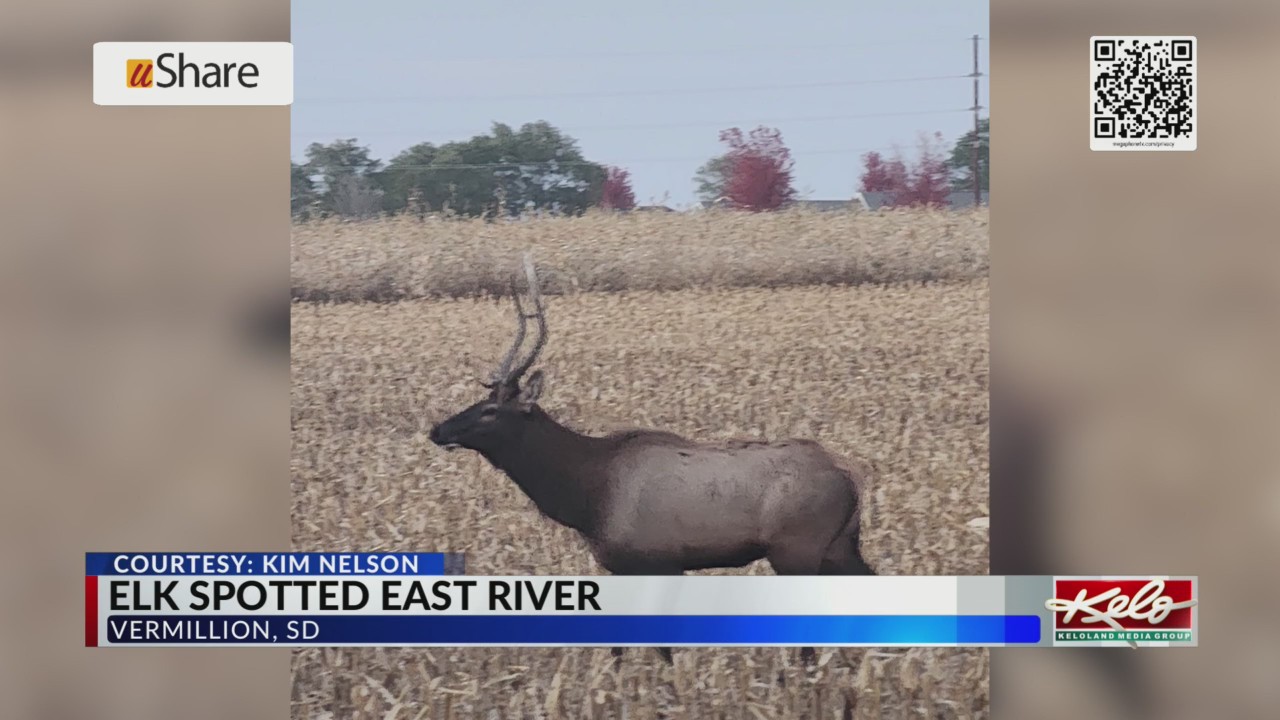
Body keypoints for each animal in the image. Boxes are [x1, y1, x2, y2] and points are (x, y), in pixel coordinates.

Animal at [428, 253, 878, 666]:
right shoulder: (623, 567)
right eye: (481, 401)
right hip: (839, 543)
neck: (586, 496)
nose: (437, 429)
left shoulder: (661, 560)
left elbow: (661, 645)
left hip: (797, 546)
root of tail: (851, 474)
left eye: (491, 411)